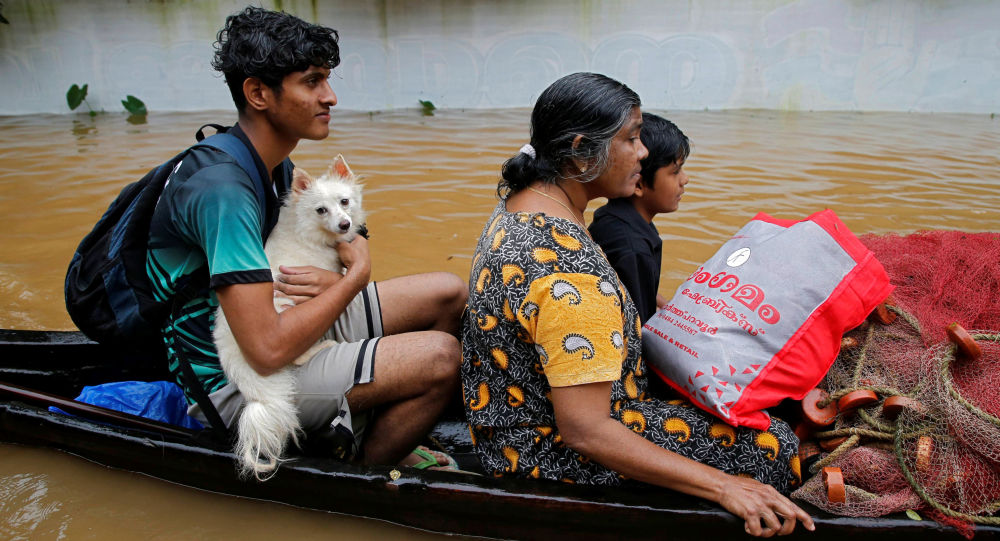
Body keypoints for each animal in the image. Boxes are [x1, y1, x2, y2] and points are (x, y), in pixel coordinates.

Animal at [213, 154, 366, 478]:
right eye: (321, 210)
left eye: (345, 201)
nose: (344, 224)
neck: (309, 228)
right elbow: (338, 280)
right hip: (287, 313)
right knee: (296, 356)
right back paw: (323, 345)